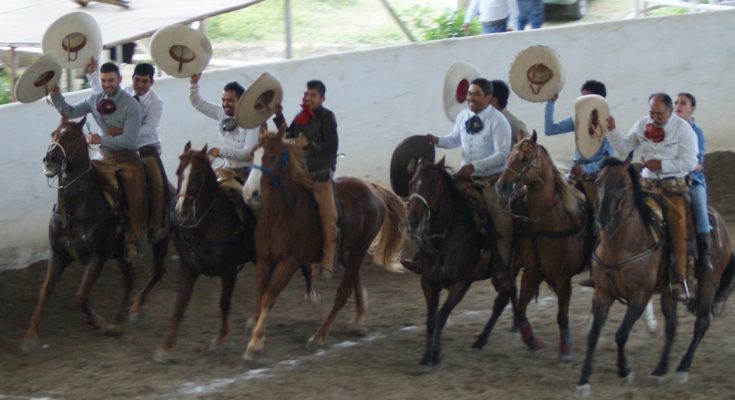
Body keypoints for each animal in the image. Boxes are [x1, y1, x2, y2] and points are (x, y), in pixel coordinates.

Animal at [21, 116, 170, 354]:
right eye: (53, 133)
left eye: (72, 136)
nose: (50, 158)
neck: (76, 209)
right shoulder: (59, 254)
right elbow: (45, 291)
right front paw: (30, 336)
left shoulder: (98, 257)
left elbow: (81, 296)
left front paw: (98, 322)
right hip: (122, 254)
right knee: (129, 280)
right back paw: (117, 322)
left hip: (161, 241)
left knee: (155, 273)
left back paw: (135, 311)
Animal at [243, 126, 406, 360]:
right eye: (252, 155)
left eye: (272, 157)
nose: (250, 192)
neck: (281, 215)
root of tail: (372, 188)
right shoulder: (264, 259)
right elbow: (261, 294)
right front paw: (256, 331)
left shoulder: (290, 262)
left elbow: (269, 296)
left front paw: (255, 344)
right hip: (346, 251)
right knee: (354, 279)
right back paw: (358, 320)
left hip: (360, 248)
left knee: (343, 291)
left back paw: (318, 337)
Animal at [408, 155, 516, 366]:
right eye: (411, 184)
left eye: (432, 186)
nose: (413, 222)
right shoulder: (428, 281)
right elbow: (431, 319)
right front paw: (427, 356)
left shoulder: (462, 283)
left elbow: (442, 315)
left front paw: (434, 355)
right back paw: (517, 325)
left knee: (502, 300)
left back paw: (481, 340)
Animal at [494, 133, 592, 364]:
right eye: (509, 155)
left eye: (524, 158)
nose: (501, 186)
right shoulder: (532, 272)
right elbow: (521, 309)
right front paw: (532, 341)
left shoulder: (563, 277)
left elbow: (562, 315)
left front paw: (566, 350)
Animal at [576, 155, 735, 398]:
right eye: (599, 181)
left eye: (622, 185)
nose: (602, 219)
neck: (622, 244)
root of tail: (721, 224)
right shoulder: (602, 293)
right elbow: (593, 335)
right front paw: (584, 380)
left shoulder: (640, 296)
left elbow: (621, 334)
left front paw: (625, 371)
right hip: (670, 292)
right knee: (672, 325)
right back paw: (660, 370)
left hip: (710, 281)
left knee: (702, 322)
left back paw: (682, 369)